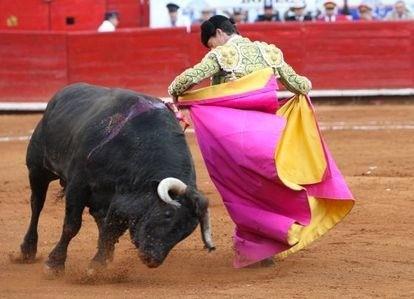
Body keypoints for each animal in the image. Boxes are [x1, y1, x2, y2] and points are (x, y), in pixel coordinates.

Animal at [17, 83, 215, 274]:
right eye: (167, 214)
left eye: (186, 232)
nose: (153, 260)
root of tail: (62, 93)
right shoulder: (78, 185)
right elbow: (72, 225)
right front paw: (54, 264)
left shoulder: (123, 200)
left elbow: (111, 230)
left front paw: (98, 265)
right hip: (38, 169)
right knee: (37, 204)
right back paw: (27, 251)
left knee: (99, 219)